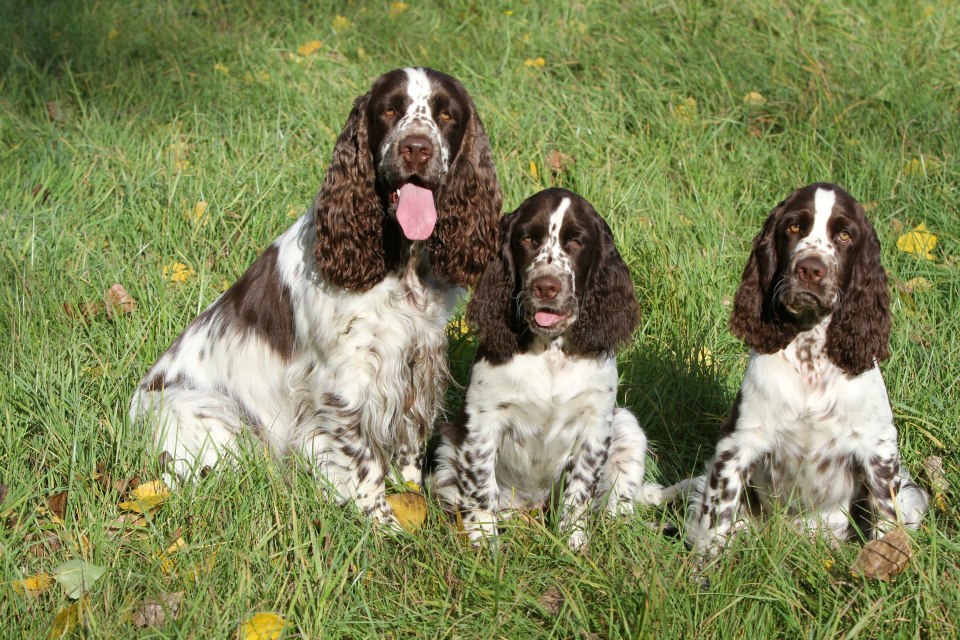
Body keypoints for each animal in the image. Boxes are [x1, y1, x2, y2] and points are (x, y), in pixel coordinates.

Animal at [436, 186, 668, 552]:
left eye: (577, 242)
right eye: (527, 239)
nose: (546, 286)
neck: (550, 350)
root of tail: (532, 505)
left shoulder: (594, 424)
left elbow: (580, 490)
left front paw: (572, 545)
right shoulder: (483, 420)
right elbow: (480, 486)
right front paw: (485, 544)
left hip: (627, 428)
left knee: (618, 510)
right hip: (447, 449)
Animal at [688, 181, 928, 556]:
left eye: (845, 234)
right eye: (793, 227)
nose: (810, 269)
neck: (810, 355)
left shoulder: (879, 448)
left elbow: (887, 522)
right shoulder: (737, 443)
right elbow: (717, 521)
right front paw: (707, 569)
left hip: (912, 495)